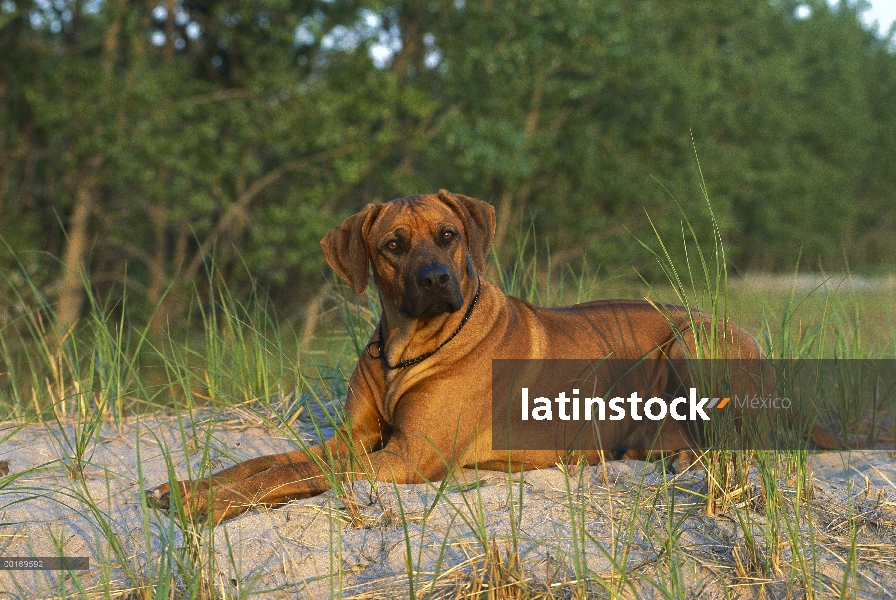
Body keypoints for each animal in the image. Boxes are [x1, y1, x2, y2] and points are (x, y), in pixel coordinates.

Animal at [147, 190, 840, 524]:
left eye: (449, 235)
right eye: (392, 245)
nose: (433, 279)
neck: (409, 348)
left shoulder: (406, 457)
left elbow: (290, 477)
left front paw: (205, 505)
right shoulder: (354, 441)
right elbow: (266, 463)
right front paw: (186, 488)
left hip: (693, 340)